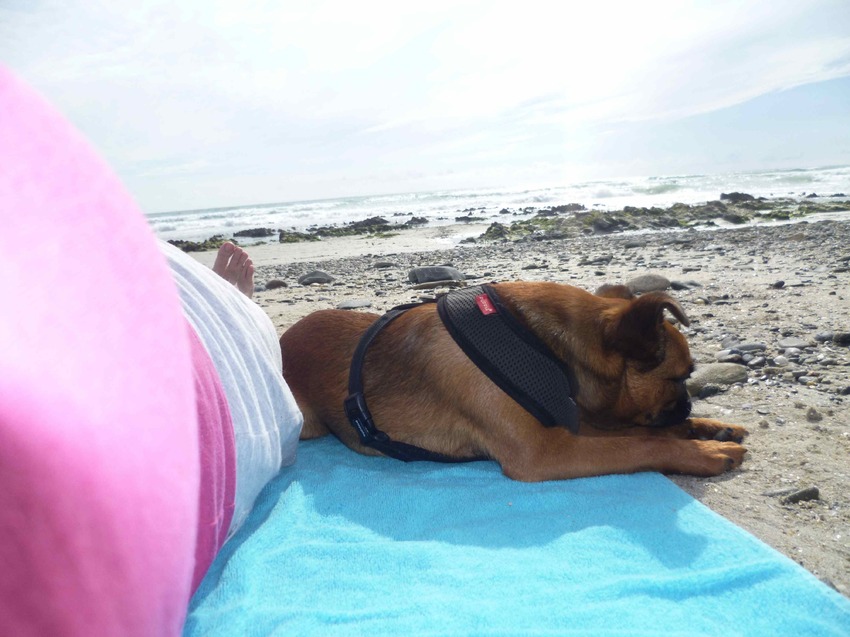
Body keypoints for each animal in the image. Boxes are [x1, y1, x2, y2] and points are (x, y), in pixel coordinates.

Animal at [279, 281, 747, 480]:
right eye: (681, 377)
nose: (688, 404)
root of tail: (284, 336)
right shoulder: (545, 451)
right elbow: (642, 443)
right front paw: (706, 451)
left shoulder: (572, 422)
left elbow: (643, 433)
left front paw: (709, 428)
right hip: (308, 424)